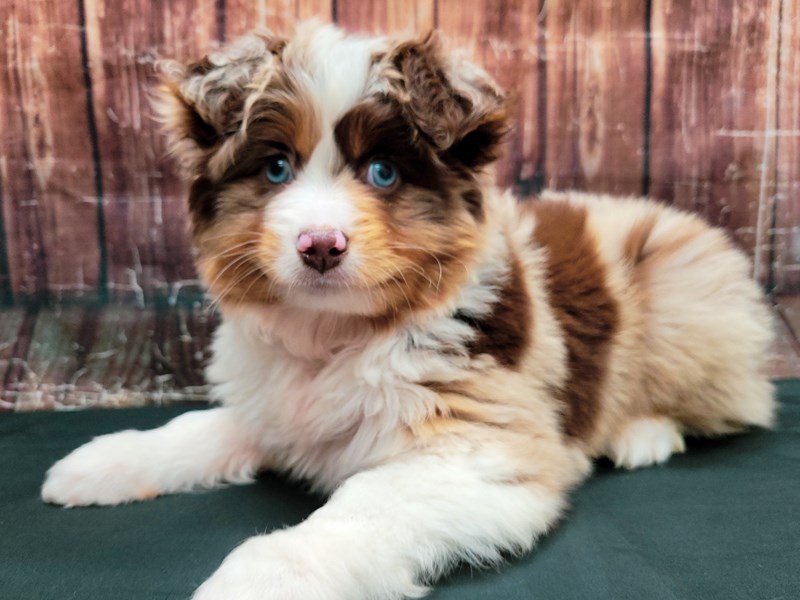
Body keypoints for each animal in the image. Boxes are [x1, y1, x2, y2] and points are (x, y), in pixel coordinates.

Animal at [43, 21, 776, 596]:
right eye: (276, 168)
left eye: (384, 172)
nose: (320, 246)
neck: (335, 334)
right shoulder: (276, 402)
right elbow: (200, 428)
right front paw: (106, 462)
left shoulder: (478, 450)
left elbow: (358, 507)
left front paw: (260, 578)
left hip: (682, 300)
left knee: (729, 403)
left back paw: (642, 433)